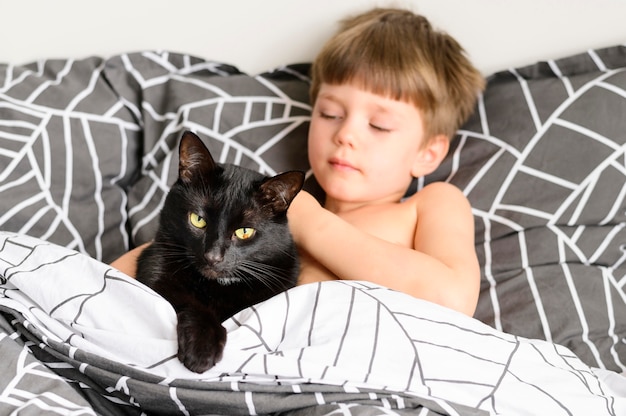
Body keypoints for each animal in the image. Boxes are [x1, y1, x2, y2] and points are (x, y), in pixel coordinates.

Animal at [137, 131, 304, 374]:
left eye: (244, 231)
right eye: (198, 220)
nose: (213, 256)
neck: (219, 286)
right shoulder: (154, 269)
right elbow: (191, 302)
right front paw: (201, 349)